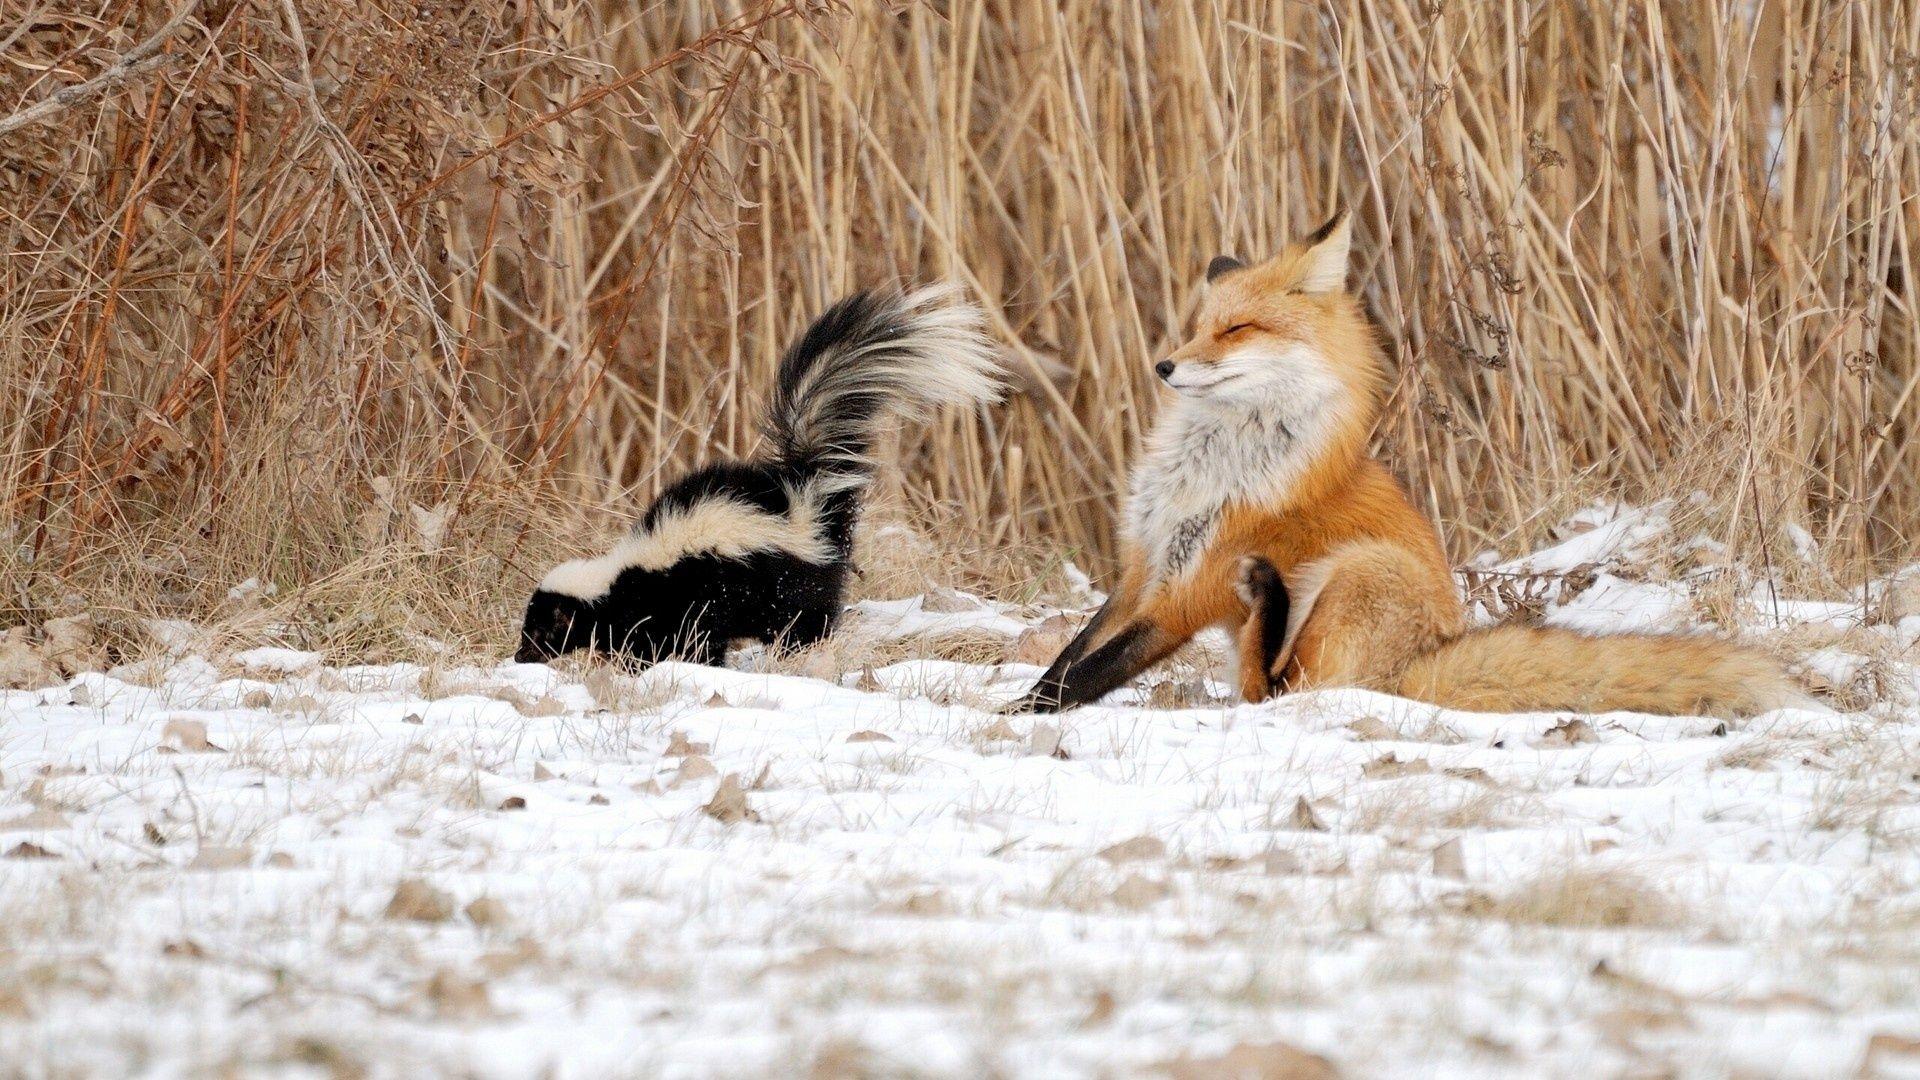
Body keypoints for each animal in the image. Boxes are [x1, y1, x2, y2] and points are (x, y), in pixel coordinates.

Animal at [1010, 205, 1807, 718]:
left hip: (1361, 574)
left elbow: (1085, 676)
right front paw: (1018, 703)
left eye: (1237, 330)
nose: (1165, 365)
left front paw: (1016, 719)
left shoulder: (1187, 591)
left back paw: (1270, 596)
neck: (1209, 468)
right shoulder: (1142, 568)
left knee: (1282, 692)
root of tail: (1421, 665)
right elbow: (1071, 656)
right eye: (1199, 326)